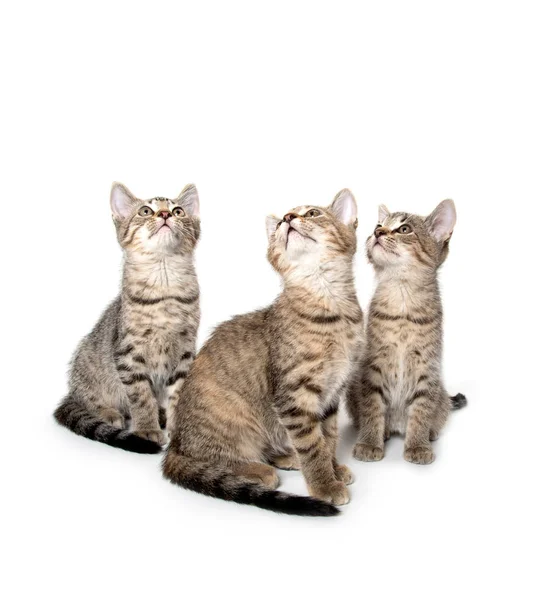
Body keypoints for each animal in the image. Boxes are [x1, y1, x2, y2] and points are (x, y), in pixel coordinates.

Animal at [54, 183, 199, 454]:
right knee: (86, 400)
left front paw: (176, 429)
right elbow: (140, 396)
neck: (164, 286)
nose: (165, 215)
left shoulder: (185, 352)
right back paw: (108, 413)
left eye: (178, 211)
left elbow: (178, 394)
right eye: (145, 211)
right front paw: (147, 430)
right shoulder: (128, 354)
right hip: (86, 361)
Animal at [163, 189, 362, 516]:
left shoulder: (332, 394)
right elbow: (312, 445)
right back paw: (259, 470)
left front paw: (333, 468)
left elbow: (327, 438)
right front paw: (324, 484)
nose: (288, 218)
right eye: (281, 221)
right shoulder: (294, 396)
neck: (329, 305)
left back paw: (285, 457)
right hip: (235, 419)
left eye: (312, 213)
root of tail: (175, 443)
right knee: (210, 460)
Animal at [348, 200, 464, 464]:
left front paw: (418, 445)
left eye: (404, 229)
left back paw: (429, 433)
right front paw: (369, 441)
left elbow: (421, 410)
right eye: (378, 225)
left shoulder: (427, 370)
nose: (378, 233)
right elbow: (372, 407)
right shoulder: (371, 369)